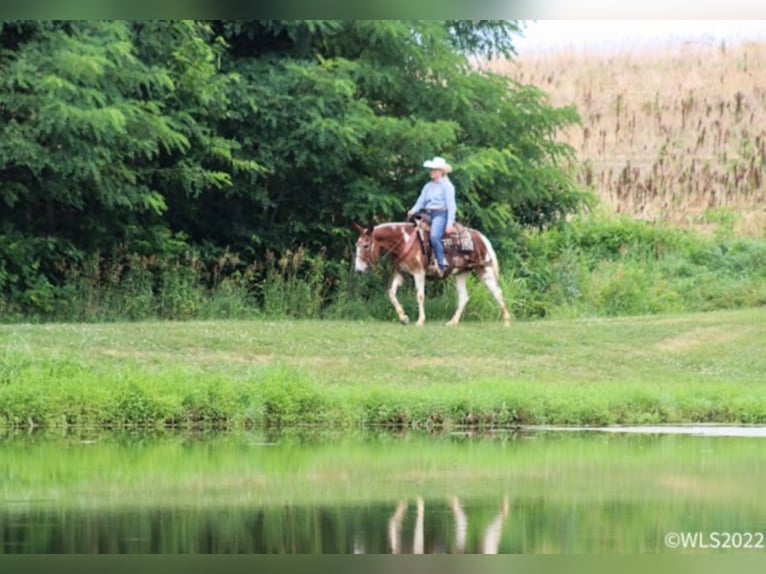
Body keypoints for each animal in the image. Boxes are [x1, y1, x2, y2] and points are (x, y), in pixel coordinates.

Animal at [352, 222, 510, 328]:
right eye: (356, 245)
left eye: (366, 245)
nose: (358, 270)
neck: (405, 241)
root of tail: (480, 237)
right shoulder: (401, 273)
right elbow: (391, 293)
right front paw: (403, 317)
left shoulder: (419, 273)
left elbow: (420, 296)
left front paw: (420, 320)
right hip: (461, 273)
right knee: (464, 297)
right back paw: (452, 322)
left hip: (484, 269)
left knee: (497, 292)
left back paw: (506, 321)